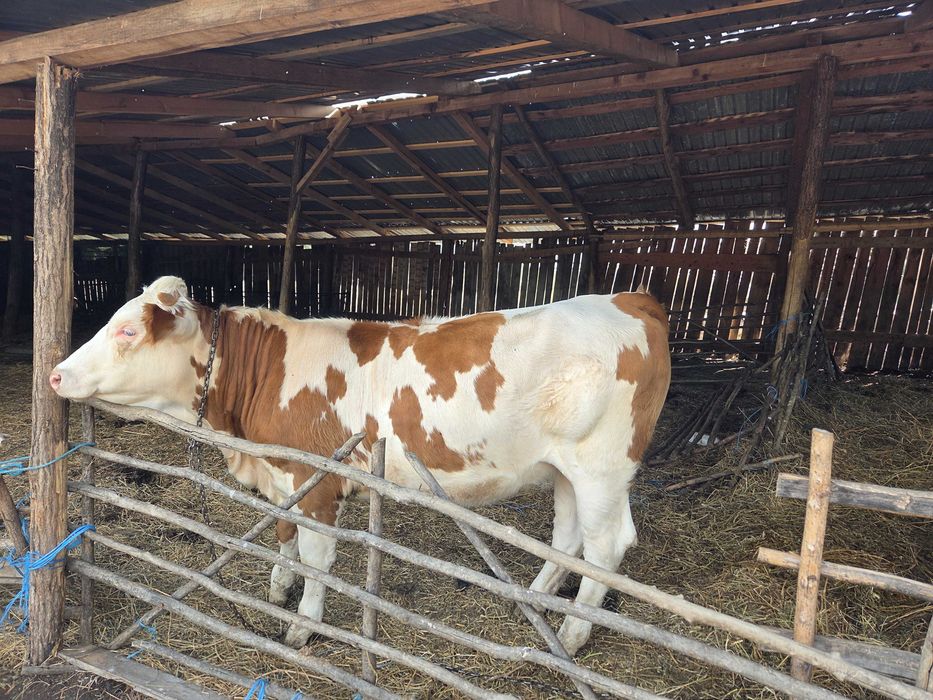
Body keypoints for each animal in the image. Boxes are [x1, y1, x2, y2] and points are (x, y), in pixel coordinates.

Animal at [51, 275, 670, 654]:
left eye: (128, 329)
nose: (55, 374)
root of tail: (631, 299)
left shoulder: (317, 479)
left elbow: (317, 558)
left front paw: (302, 626)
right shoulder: (283, 475)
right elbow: (284, 535)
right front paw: (278, 589)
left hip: (601, 467)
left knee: (606, 548)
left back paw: (571, 636)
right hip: (563, 469)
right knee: (568, 538)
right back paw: (535, 608)